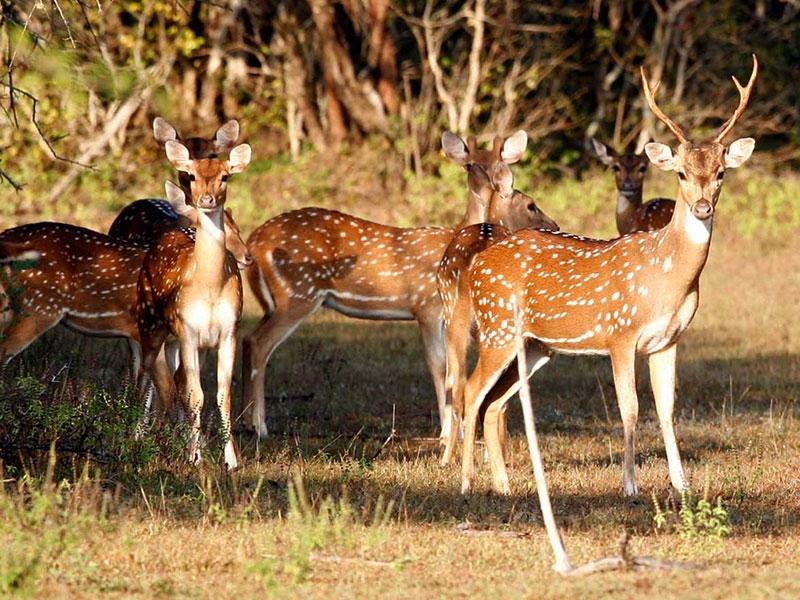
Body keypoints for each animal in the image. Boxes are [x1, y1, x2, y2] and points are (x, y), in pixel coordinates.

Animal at [136, 139, 252, 470]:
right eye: (192, 175)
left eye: (225, 176)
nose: (207, 199)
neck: (209, 287)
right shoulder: (188, 331)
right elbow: (195, 396)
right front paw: (193, 457)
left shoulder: (228, 332)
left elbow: (222, 395)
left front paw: (231, 460)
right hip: (148, 323)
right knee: (145, 376)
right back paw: (136, 436)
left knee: (172, 382)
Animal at [240, 131, 558, 440]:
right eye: (469, 165)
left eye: (500, 161)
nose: (554, 225)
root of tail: (254, 241)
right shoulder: (426, 306)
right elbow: (438, 365)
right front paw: (447, 431)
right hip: (299, 293)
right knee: (259, 342)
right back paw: (260, 426)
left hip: (276, 301)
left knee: (248, 339)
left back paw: (245, 422)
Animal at [455, 56, 757, 496]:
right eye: (681, 173)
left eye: (720, 173)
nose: (702, 207)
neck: (667, 278)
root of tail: (478, 263)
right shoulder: (620, 333)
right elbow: (629, 408)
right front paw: (629, 486)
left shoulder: (669, 340)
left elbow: (666, 410)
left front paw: (681, 484)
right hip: (498, 327)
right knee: (472, 391)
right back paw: (465, 483)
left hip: (535, 345)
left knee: (495, 403)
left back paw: (503, 486)